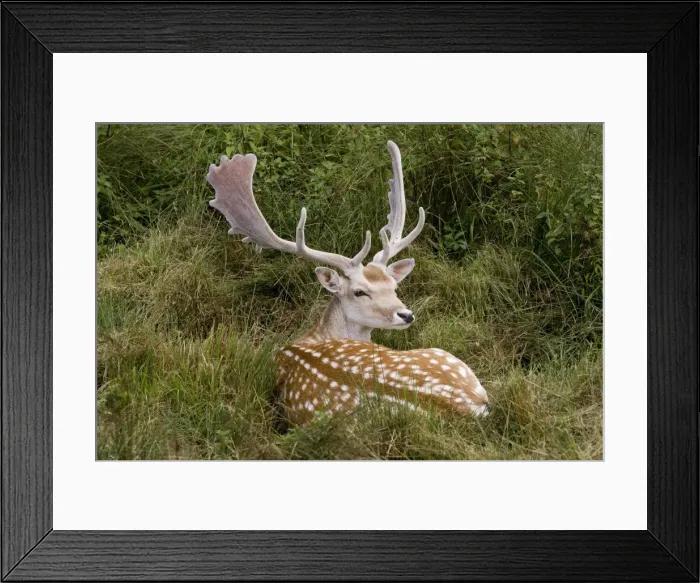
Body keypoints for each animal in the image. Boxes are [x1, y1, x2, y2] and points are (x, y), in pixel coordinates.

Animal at [206, 140, 489, 427]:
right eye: (359, 292)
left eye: (394, 286)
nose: (406, 314)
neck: (311, 337)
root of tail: (466, 406)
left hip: (444, 356)